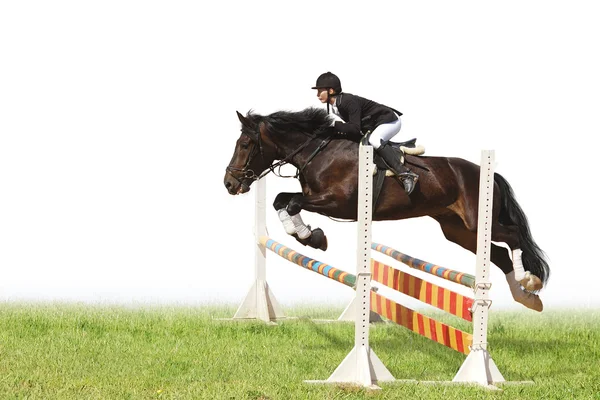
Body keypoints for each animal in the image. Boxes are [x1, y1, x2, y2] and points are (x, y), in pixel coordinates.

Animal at [224, 107, 548, 312]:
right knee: (499, 255)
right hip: (458, 230)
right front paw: (307, 235)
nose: (229, 183)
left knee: (513, 236)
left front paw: (312, 237)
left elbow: (291, 202)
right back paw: (527, 298)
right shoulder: (319, 199)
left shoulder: (339, 203)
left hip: (478, 222)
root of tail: (487, 172)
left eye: (245, 144)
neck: (318, 153)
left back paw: (529, 280)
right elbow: (281, 200)